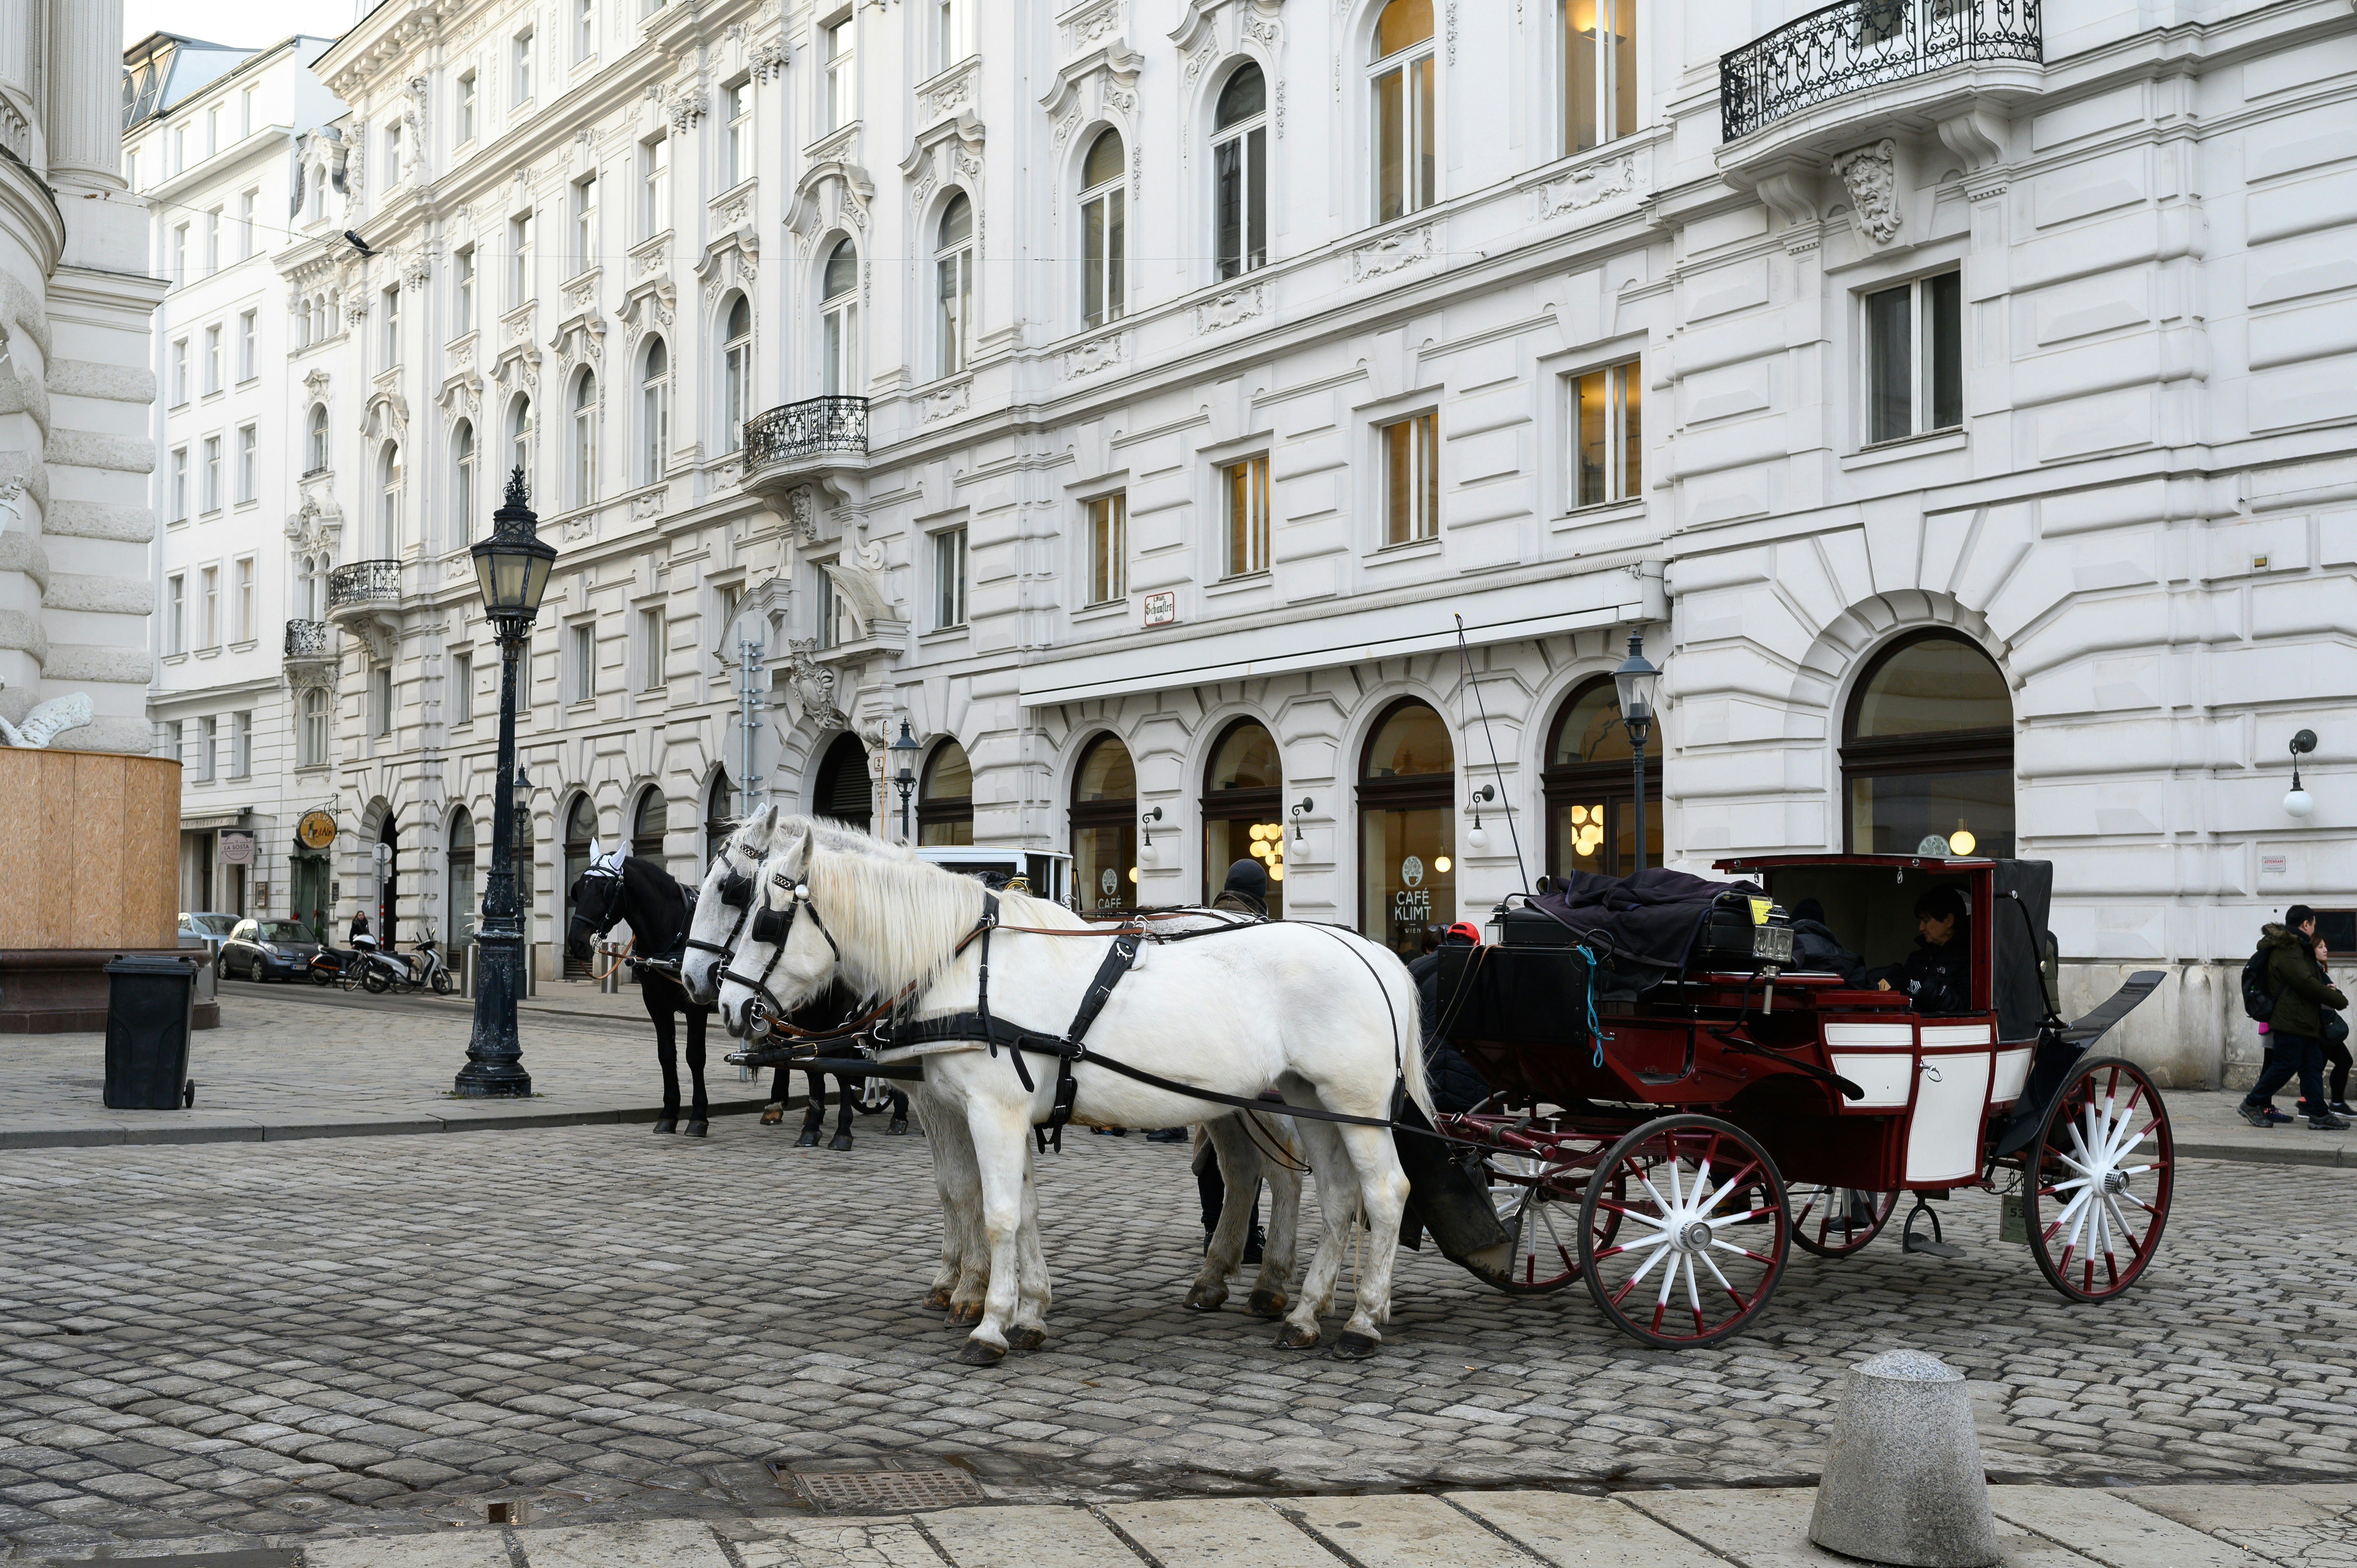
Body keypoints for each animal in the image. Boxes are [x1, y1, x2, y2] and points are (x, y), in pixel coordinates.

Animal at [565, 841, 716, 1137]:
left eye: (604, 890)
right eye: (579, 888)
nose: (576, 943)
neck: (672, 933)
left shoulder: (696, 1005)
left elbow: (695, 1056)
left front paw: (699, 1117)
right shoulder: (655, 1003)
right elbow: (666, 1055)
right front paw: (669, 1113)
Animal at [718, 817, 1427, 1363]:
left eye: (758, 919)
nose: (721, 1002)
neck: (967, 964)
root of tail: (1372, 952)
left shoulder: (991, 1113)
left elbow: (998, 1213)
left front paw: (989, 1323)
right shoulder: (1000, 1115)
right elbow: (1023, 1210)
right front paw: (1030, 1314)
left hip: (1352, 1106)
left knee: (1383, 1192)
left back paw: (1361, 1321)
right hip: (1308, 1099)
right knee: (1334, 1197)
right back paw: (1304, 1314)